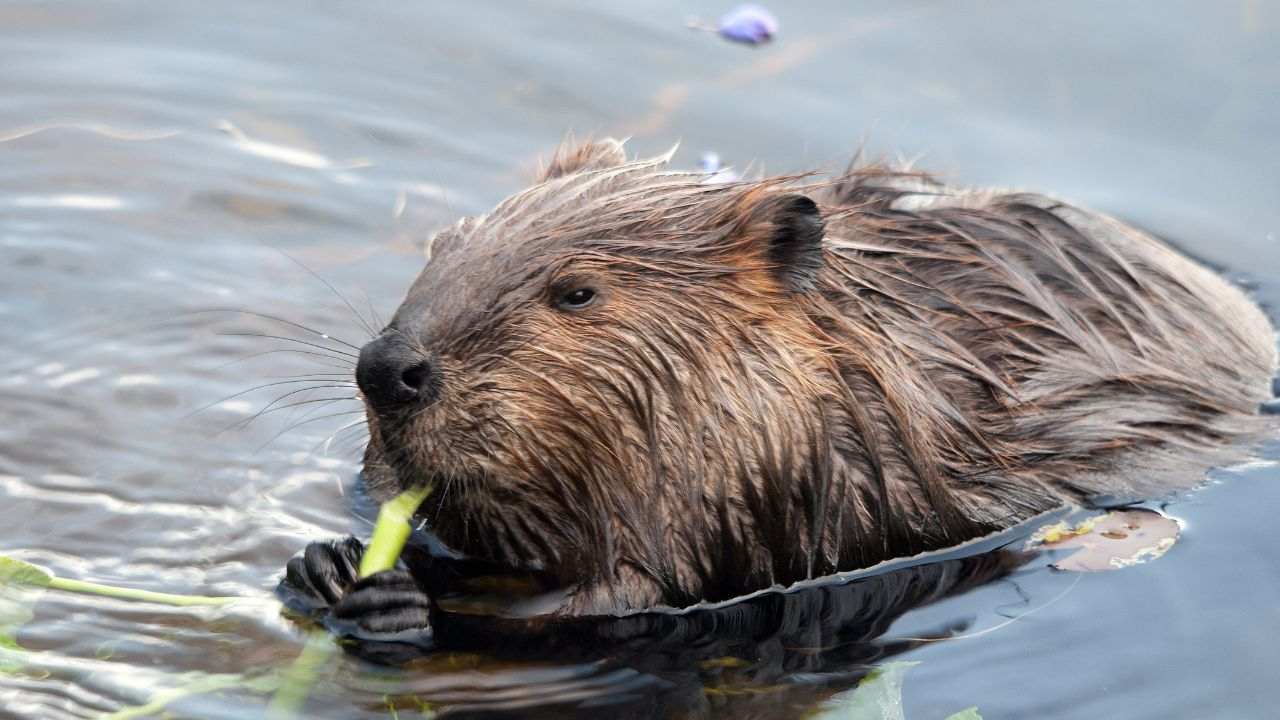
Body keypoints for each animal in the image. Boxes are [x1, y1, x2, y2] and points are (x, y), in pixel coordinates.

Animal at [277, 137, 1269, 630]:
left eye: (577, 291)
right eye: (445, 244)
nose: (388, 370)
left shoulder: (791, 486)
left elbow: (620, 599)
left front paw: (395, 596)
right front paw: (325, 562)